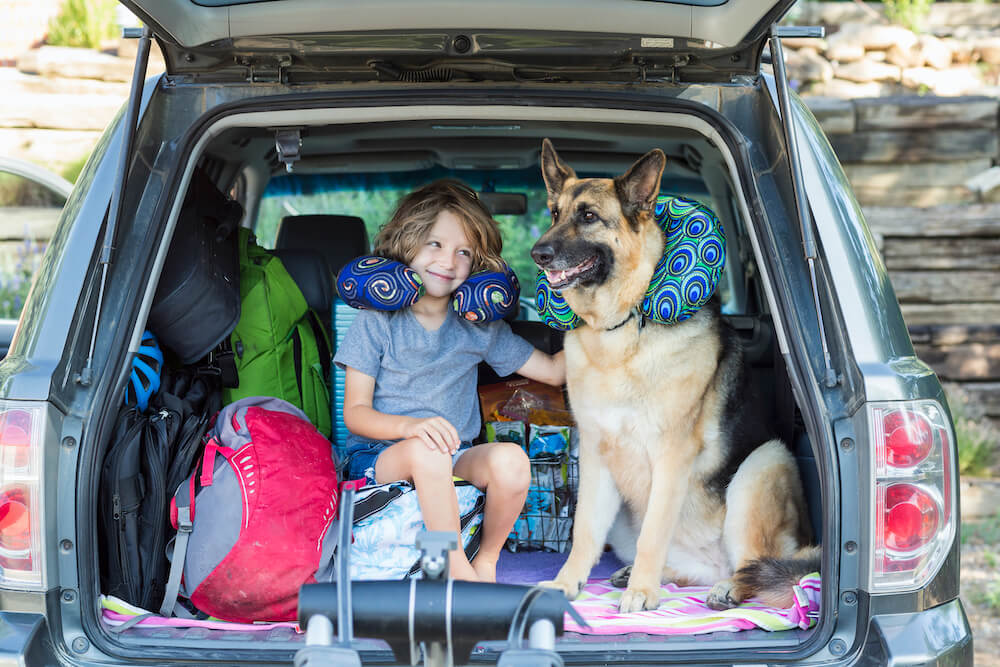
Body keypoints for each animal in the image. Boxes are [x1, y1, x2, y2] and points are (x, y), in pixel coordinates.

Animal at [532, 138, 820, 612]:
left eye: (588, 216)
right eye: (554, 213)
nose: (537, 254)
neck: (623, 327)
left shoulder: (671, 457)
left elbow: (654, 531)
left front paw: (641, 593)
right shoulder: (595, 457)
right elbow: (584, 531)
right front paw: (567, 583)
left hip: (762, 465)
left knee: (757, 568)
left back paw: (724, 587)